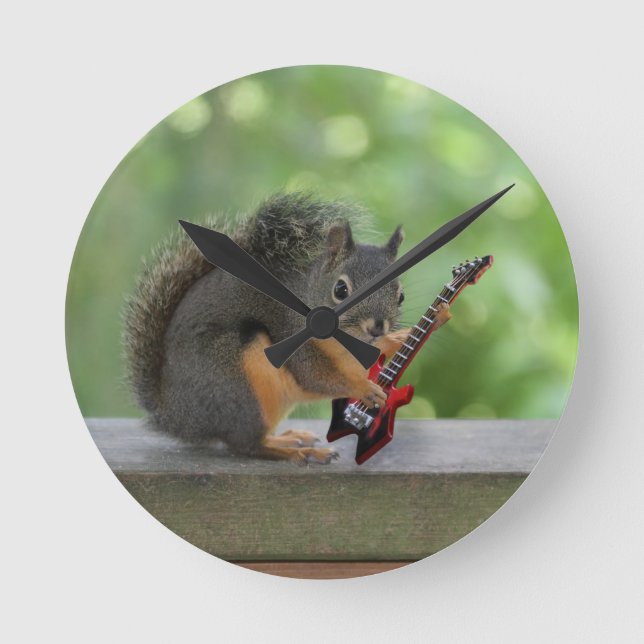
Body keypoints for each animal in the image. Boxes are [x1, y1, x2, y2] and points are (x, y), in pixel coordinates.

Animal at [124, 193, 451, 464]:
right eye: (340, 289)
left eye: (401, 296)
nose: (377, 327)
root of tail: (175, 415)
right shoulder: (292, 336)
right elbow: (315, 376)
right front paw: (364, 388)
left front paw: (421, 326)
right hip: (233, 384)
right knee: (246, 445)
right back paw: (298, 452)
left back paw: (289, 439)